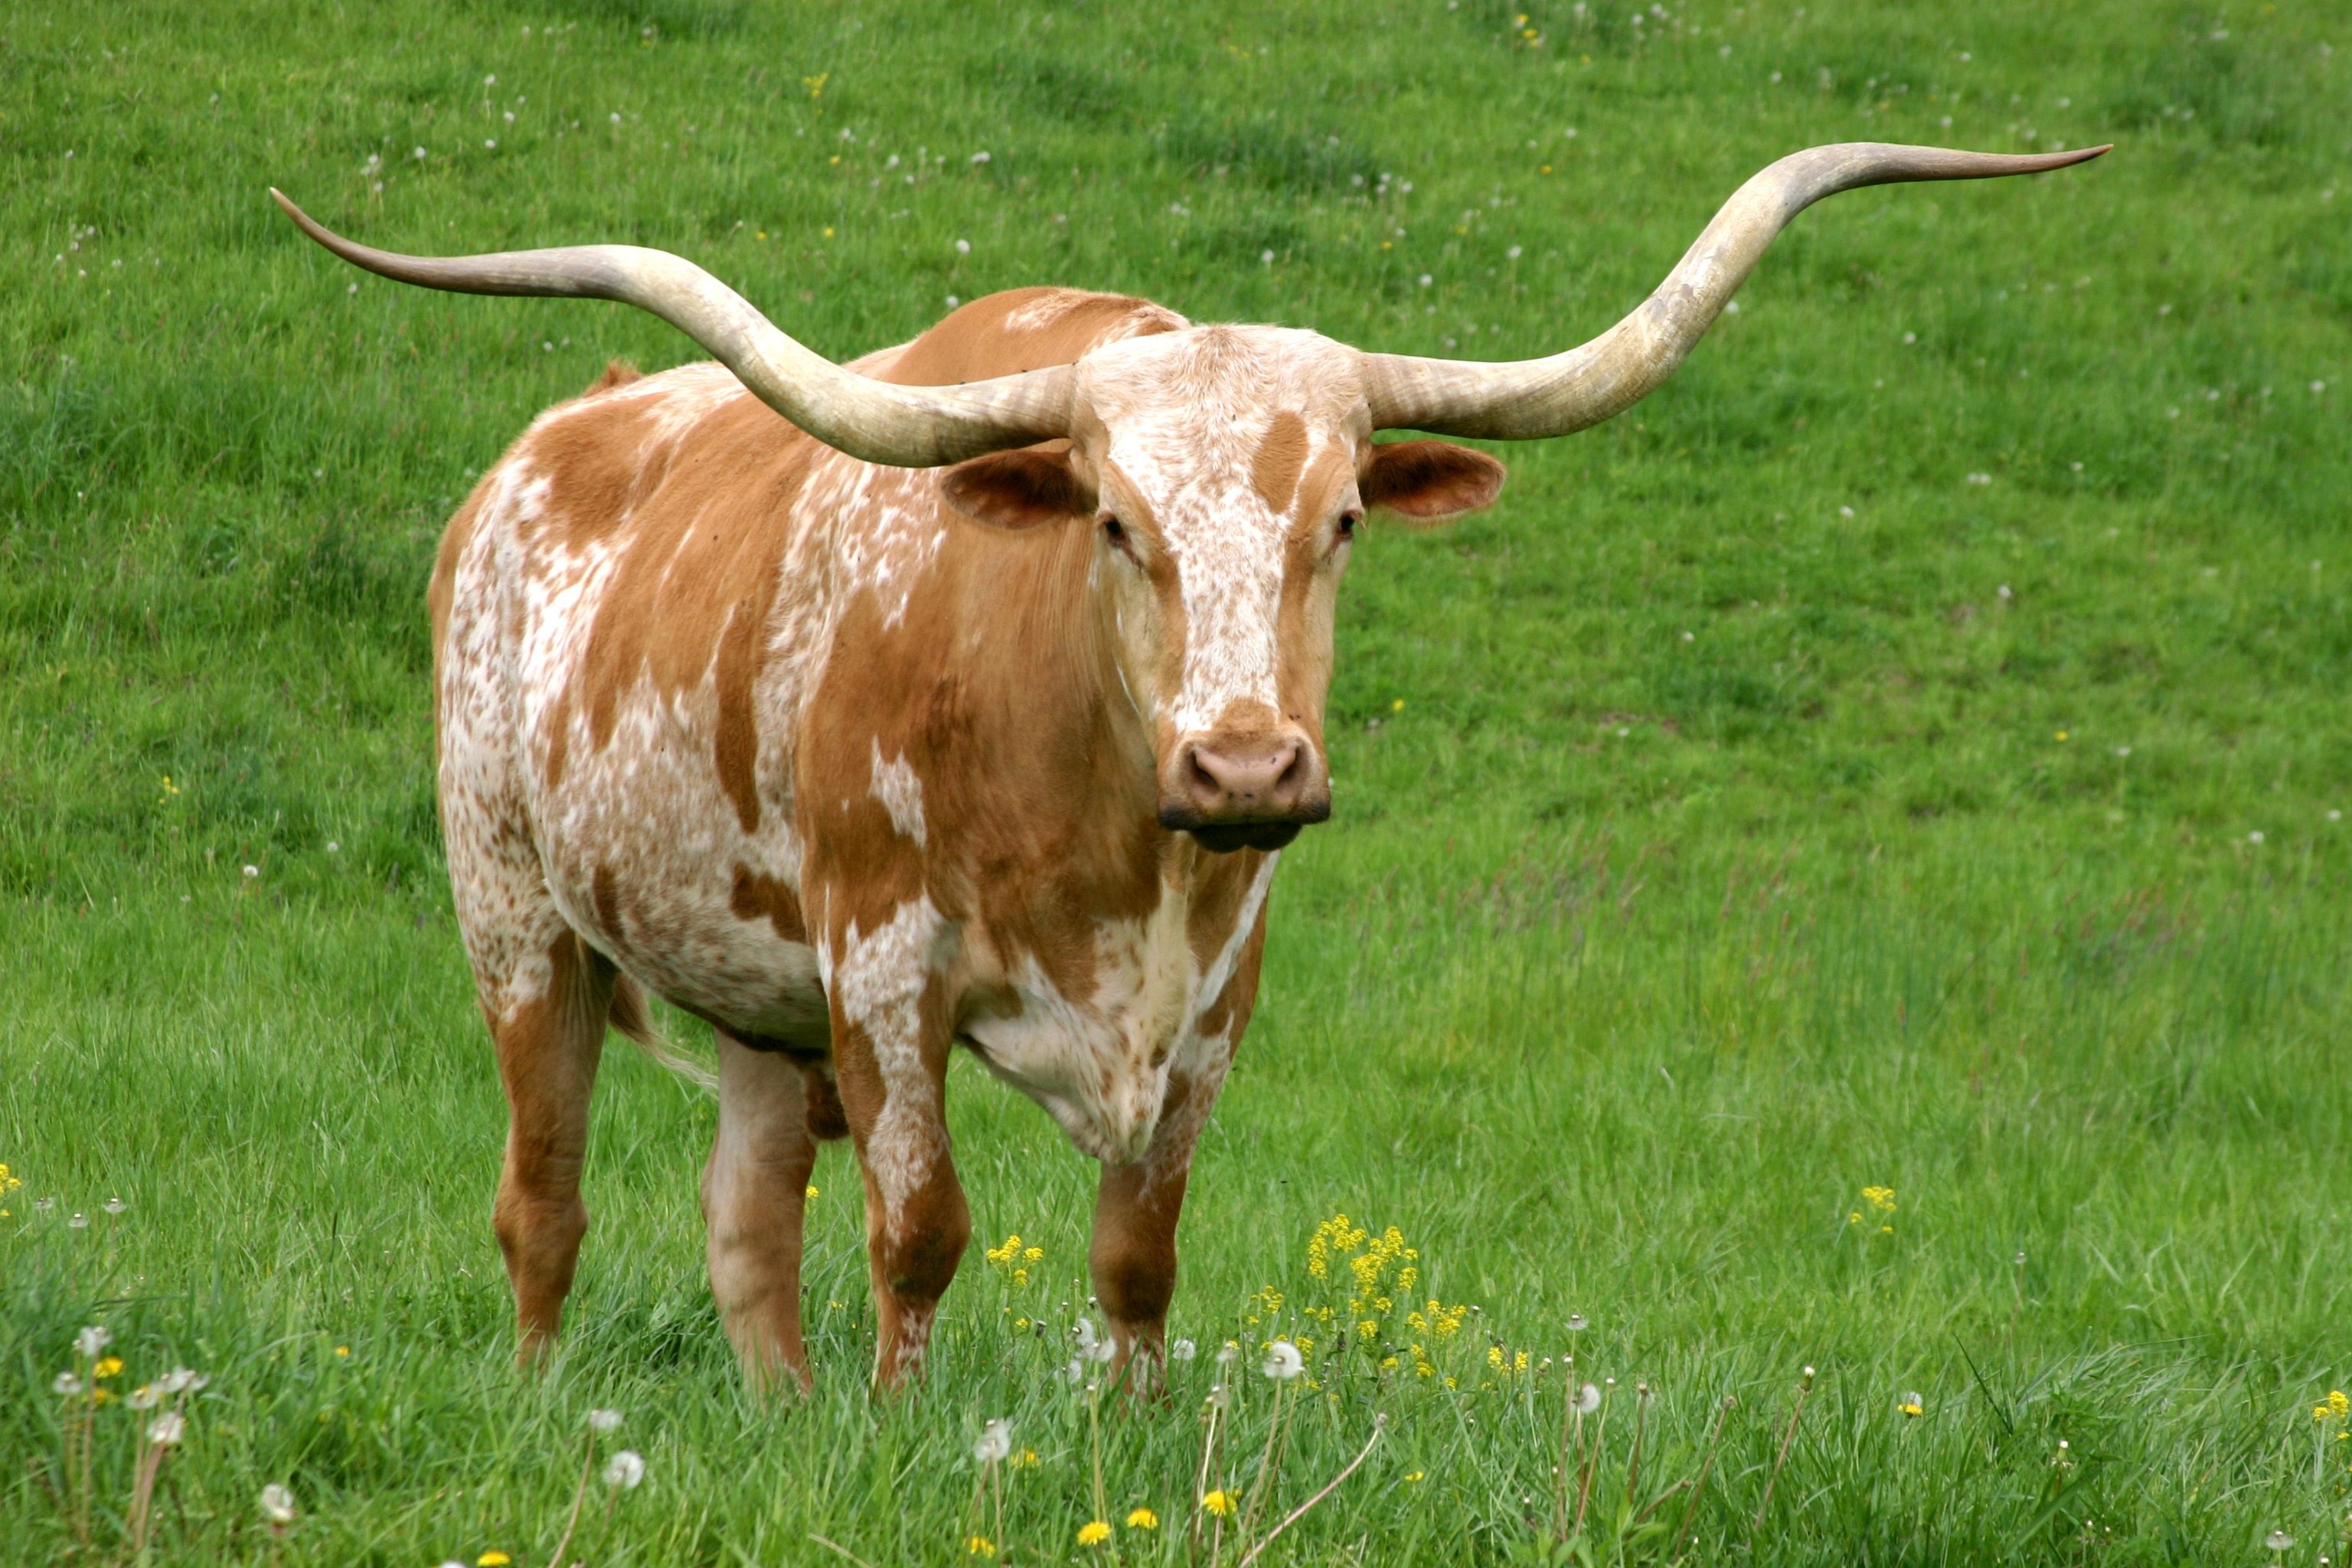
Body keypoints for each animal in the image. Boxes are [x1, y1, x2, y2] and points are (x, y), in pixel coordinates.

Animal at [270, 141, 2098, 1391]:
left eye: (1341, 518)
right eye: (1114, 522)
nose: (1243, 767)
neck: (1116, 841)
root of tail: (542, 447)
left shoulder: (1217, 994)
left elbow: (1137, 1255)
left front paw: (1127, 1433)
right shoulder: (884, 965)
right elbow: (919, 1231)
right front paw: (896, 1430)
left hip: (754, 997)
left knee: (746, 1223)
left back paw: (778, 1409)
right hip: (517, 915)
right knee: (544, 1197)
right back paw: (548, 1397)